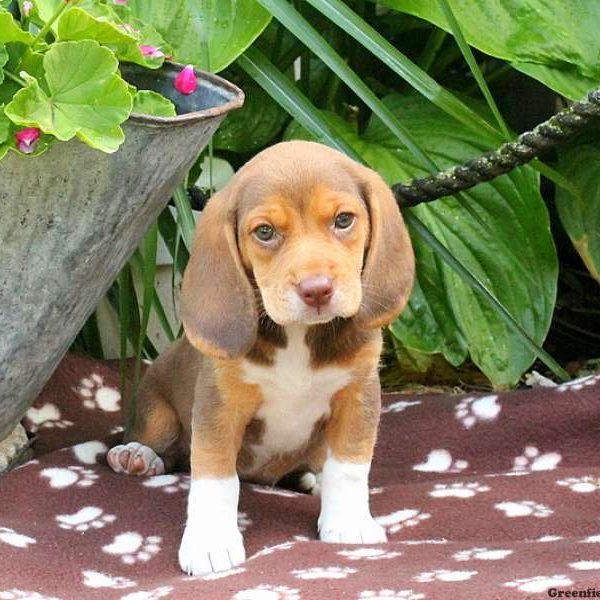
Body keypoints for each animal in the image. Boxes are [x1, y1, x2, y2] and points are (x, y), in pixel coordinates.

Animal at [105, 141, 414, 576]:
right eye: (265, 232)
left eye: (343, 220)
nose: (317, 290)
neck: (299, 335)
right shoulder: (220, 406)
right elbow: (215, 479)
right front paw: (211, 543)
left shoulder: (358, 397)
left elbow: (349, 467)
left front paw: (349, 522)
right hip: (158, 414)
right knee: (164, 448)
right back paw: (135, 455)